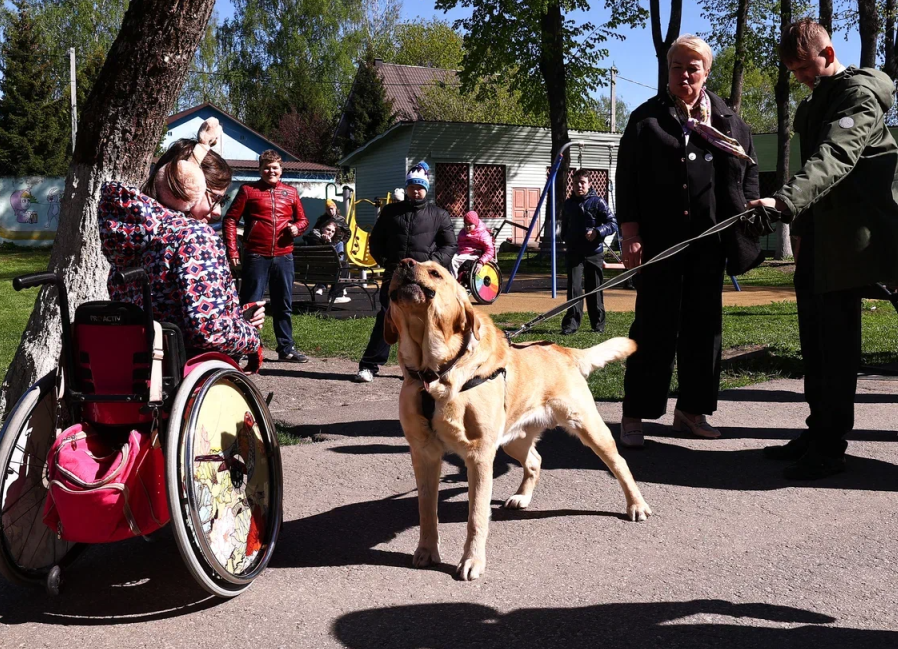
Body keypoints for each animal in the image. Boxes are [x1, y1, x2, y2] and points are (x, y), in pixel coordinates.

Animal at [384, 256, 652, 580]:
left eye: (435, 272)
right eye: (398, 269)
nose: (405, 262)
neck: (433, 374)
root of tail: (560, 349)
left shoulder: (479, 455)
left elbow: (476, 516)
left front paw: (472, 561)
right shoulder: (423, 453)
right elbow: (426, 510)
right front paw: (426, 550)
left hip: (588, 427)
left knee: (619, 463)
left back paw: (637, 504)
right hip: (512, 439)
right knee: (535, 460)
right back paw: (522, 497)